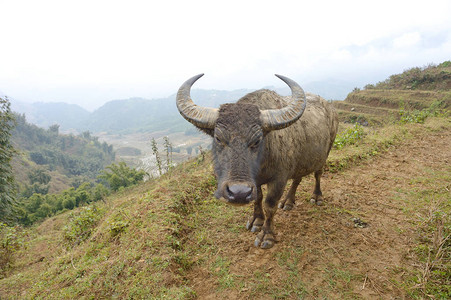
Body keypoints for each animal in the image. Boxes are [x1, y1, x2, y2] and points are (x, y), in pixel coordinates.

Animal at [177, 74, 340, 248]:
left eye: (257, 141)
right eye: (218, 138)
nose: (238, 193)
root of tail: (331, 110)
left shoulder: (279, 178)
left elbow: (270, 205)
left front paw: (266, 235)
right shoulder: (255, 181)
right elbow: (258, 198)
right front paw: (256, 220)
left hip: (326, 151)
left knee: (318, 174)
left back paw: (316, 197)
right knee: (298, 178)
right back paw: (288, 201)